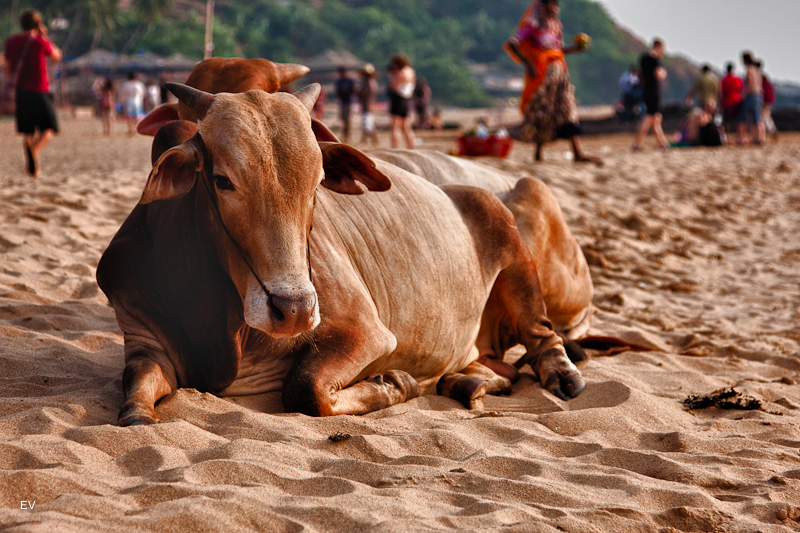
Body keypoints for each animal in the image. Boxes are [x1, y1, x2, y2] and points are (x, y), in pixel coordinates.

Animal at [97, 83, 584, 424]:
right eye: (222, 181)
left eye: (318, 183)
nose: (293, 309)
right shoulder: (142, 338)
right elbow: (136, 385)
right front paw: (137, 413)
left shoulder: (367, 332)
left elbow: (306, 388)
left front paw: (393, 383)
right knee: (499, 367)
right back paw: (470, 383)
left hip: (511, 241)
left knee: (542, 335)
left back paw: (561, 376)